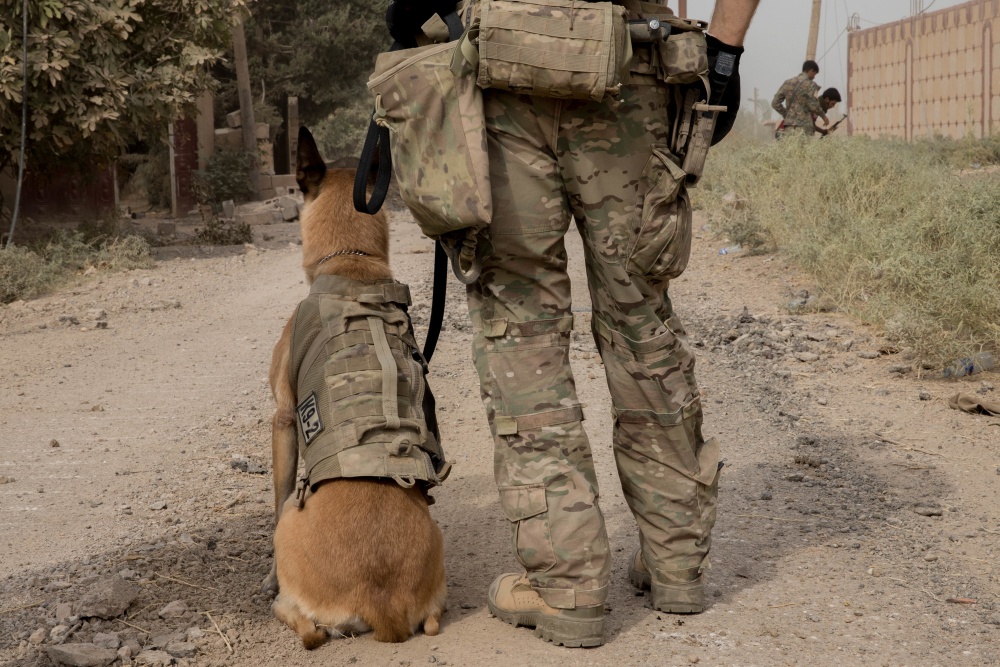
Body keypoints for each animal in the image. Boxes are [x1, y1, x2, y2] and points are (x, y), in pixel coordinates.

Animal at [268, 125, 448, 648]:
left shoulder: (282, 419)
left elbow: (277, 489)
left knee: (309, 629)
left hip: (291, 527)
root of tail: (379, 601)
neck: (351, 263)